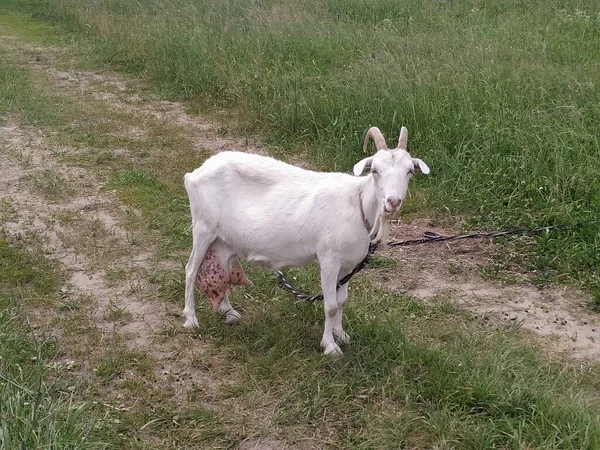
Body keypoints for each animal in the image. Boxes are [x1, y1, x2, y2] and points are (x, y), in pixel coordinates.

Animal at [185, 125, 428, 356]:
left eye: (409, 171)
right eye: (375, 170)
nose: (393, 202)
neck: (357, 203)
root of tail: (195, 173)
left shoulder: (348, 265)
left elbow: (342, 300)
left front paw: (341, 334)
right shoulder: (329, 259)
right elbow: (330, 305)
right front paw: (330, 346)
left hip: (224, 240)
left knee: (223, 270)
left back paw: (229, 312)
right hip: (203, 227)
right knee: (191, 270)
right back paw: (191, 320)